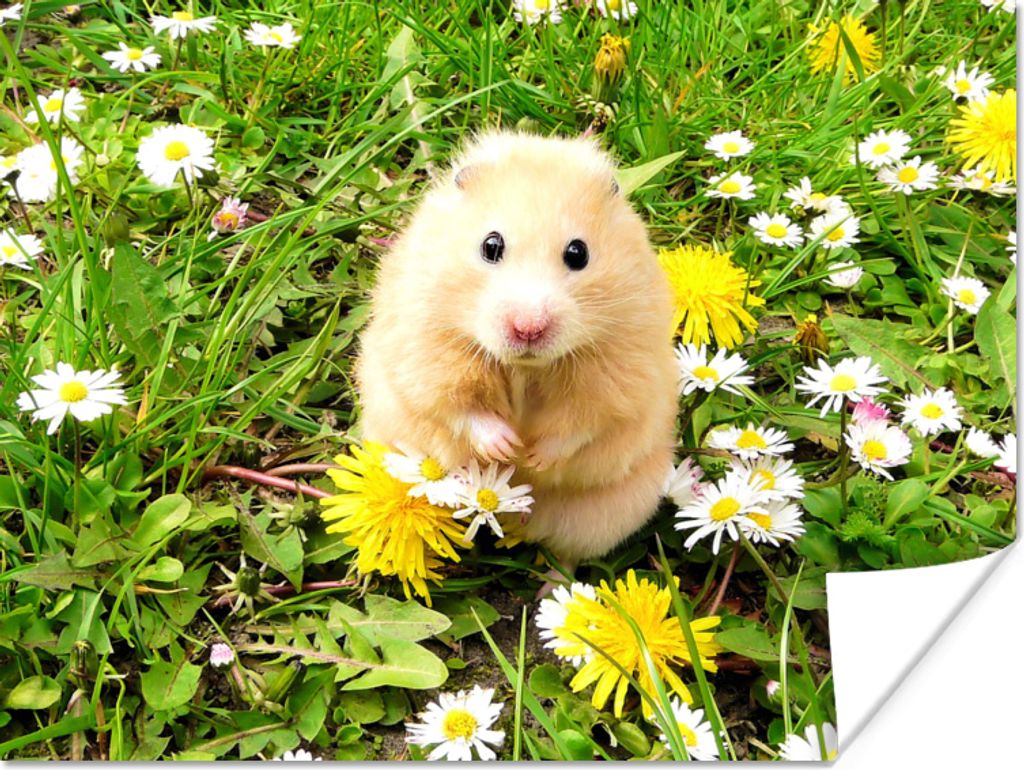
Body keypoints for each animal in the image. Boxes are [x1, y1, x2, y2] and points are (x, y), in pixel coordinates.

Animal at [356, 130, 678, 565]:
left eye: (578, 253)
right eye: (491, 246)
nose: (528, 328)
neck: (526, 367)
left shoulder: (618, 373)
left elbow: (583, 423)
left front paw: (532, 459)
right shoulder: (426, 351)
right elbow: (459, 408)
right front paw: (506, 449)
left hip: (602, 515)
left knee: (566, 553)